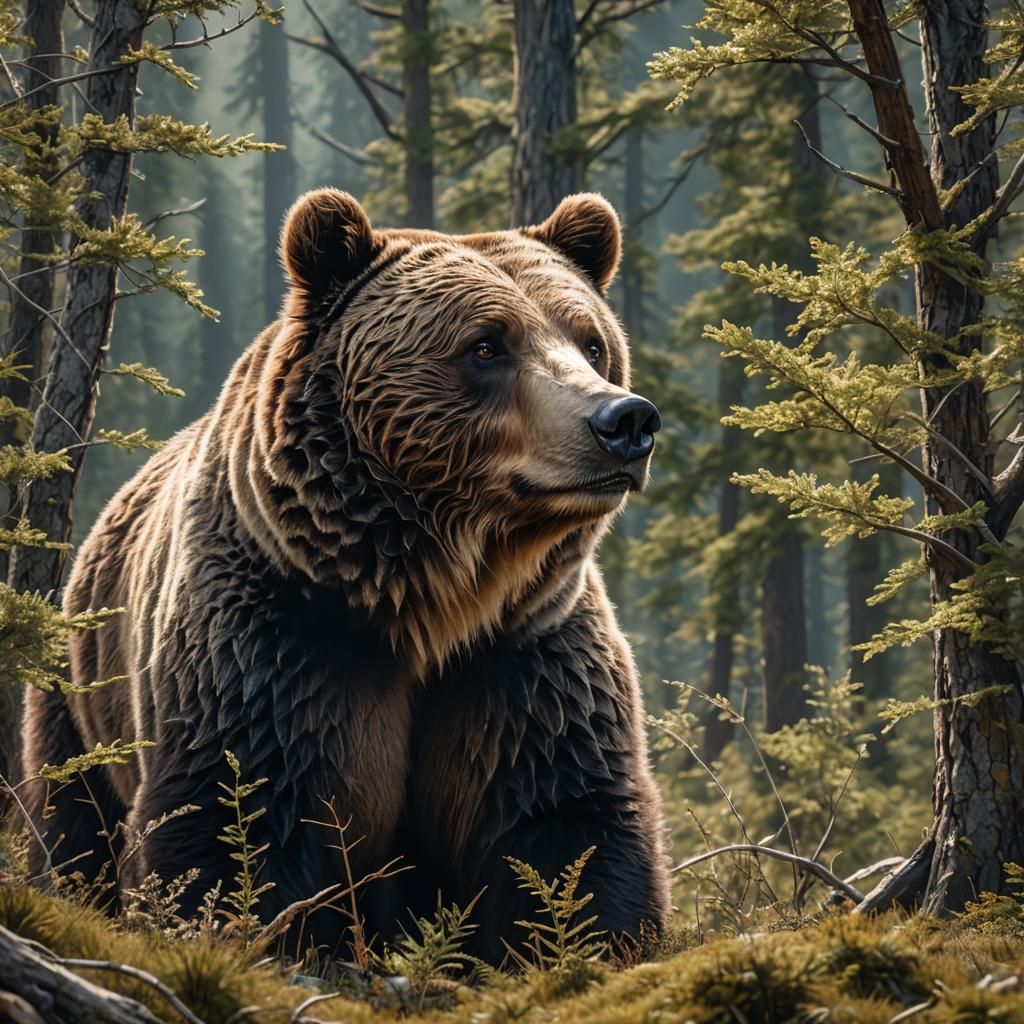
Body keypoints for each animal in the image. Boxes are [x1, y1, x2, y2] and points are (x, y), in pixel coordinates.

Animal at [22, 189, 671, 961]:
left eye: (591, 341)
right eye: (487, 343)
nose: (623, 420)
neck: (430, 596)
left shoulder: (522, 653)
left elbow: (568, 820)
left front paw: (593, 939)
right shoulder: (277, 641)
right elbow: (234, 815)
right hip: (83, 693)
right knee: (73, 819)